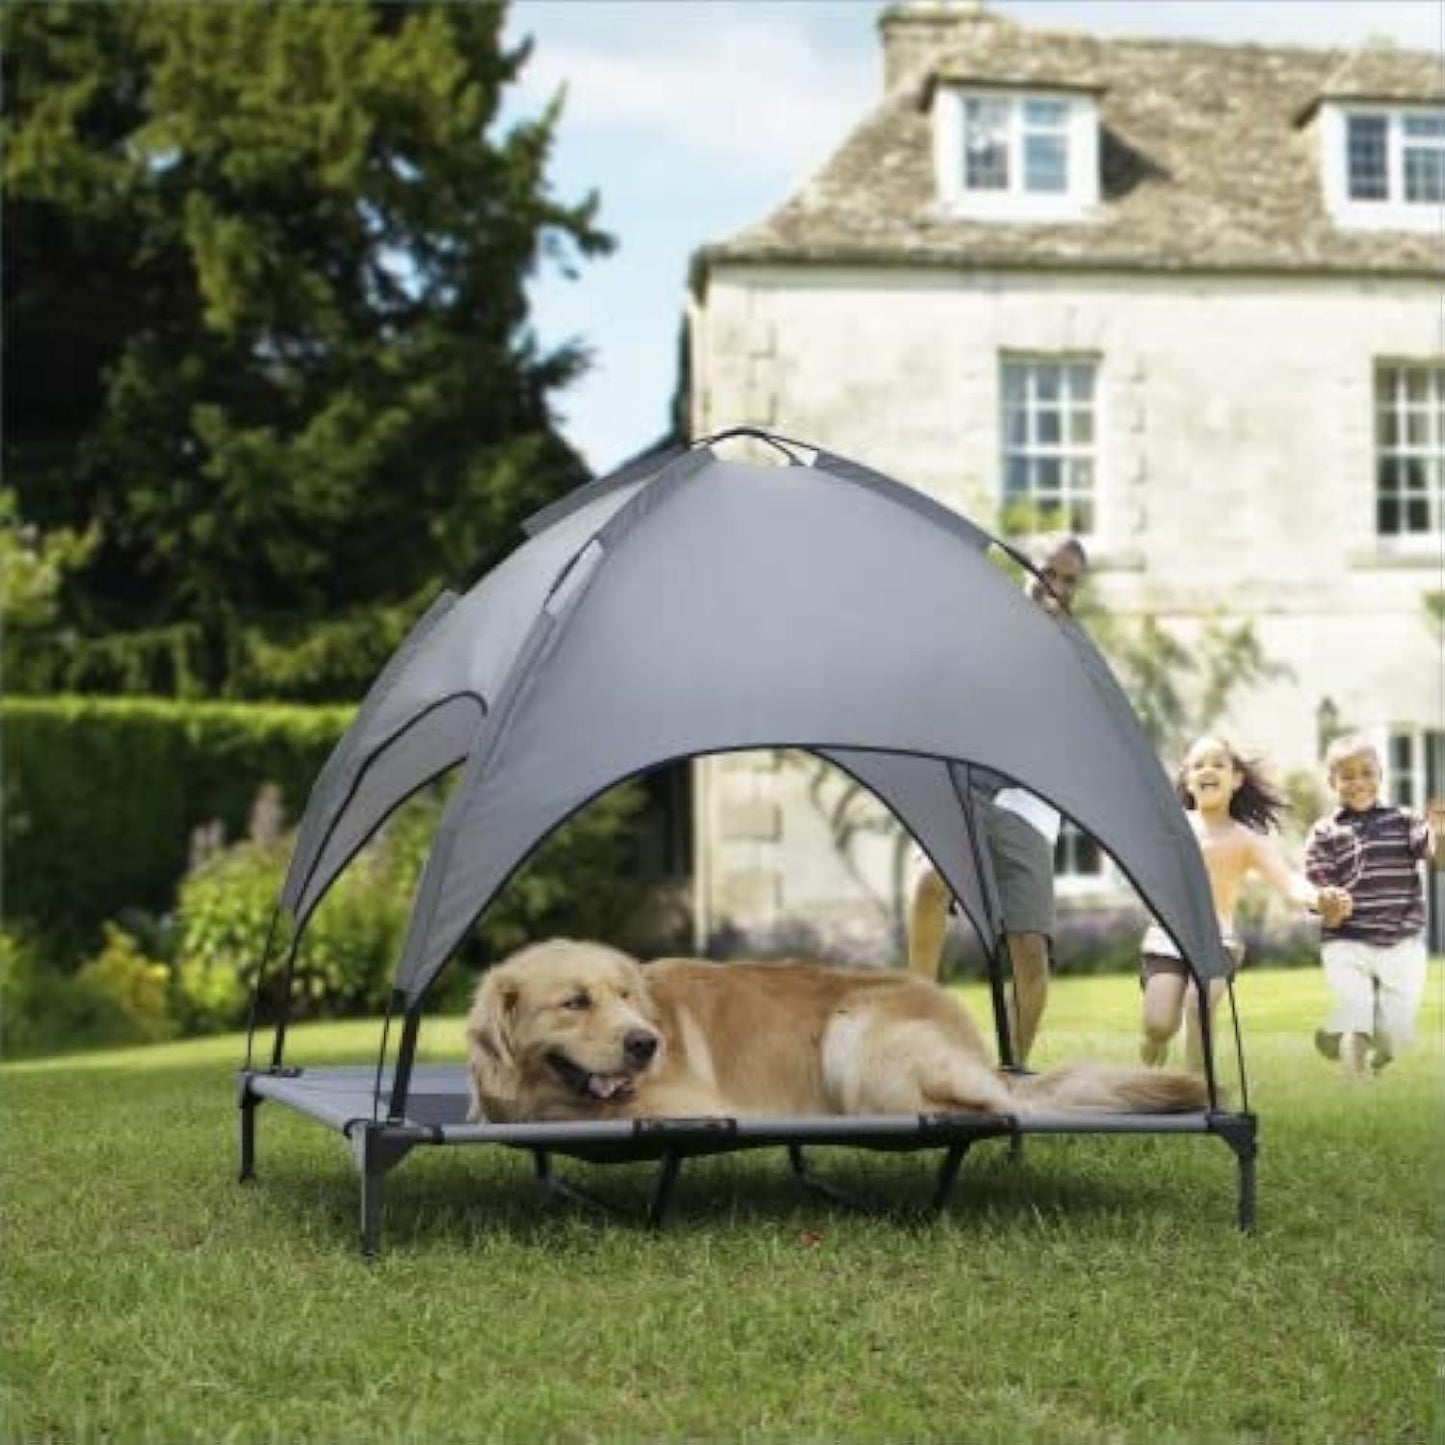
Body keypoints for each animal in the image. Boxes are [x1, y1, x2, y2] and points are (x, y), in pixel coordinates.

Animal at [465, 936, 1208, 1127]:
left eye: (626, 998)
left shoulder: (688, 1102)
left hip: (854, 1032)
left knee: (996, 1106)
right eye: (574, 1002)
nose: (645, 1043)